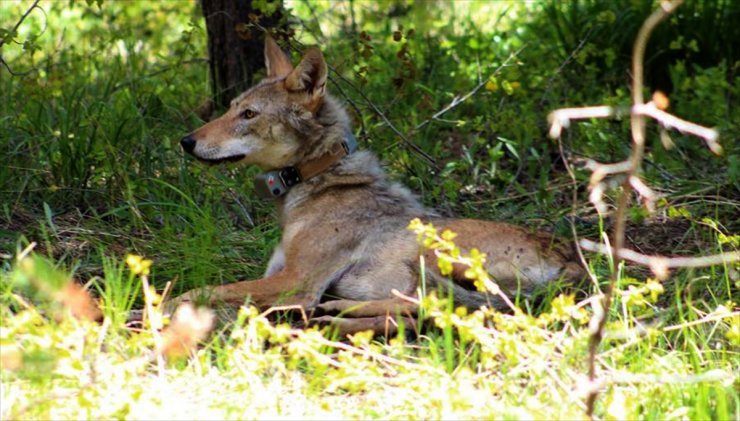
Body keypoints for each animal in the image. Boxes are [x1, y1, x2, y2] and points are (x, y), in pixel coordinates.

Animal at [169, 37, 584, 334]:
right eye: (230, 108)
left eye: (249, 115)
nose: (185, 141)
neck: (317, 181)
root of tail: (574, 258)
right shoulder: (277, 275)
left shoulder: (297, 283)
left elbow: (196, 291)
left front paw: (162, 306)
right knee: (418, 316)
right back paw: (338, 318)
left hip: (430, 252)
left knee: (432, 306)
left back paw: (337, 312)